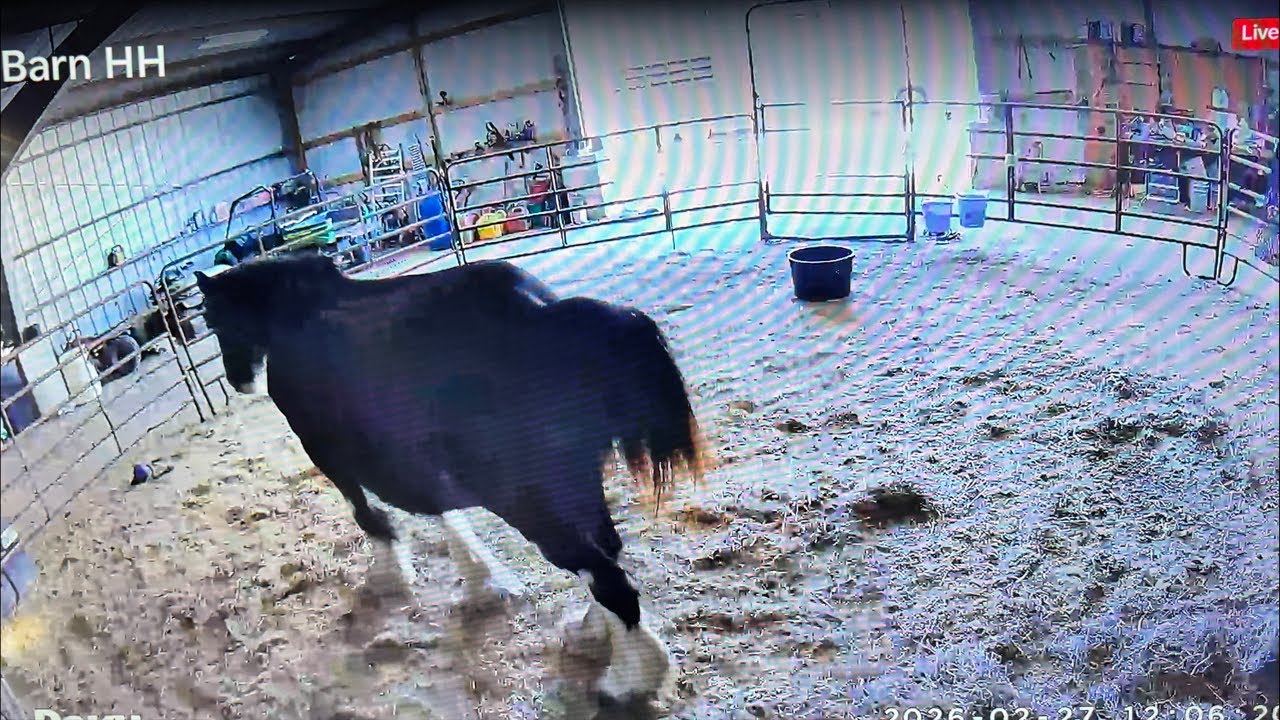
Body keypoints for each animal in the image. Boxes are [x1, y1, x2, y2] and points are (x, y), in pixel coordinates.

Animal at [194, 252, 709, 701]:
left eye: (214, 320)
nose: (239, 378)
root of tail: (545, 319)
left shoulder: (328, 453)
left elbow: (369, 514)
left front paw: (391, 575)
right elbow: (439, 508)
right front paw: (482, 583)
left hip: (528, 499)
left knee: (605, 577)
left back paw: (628, 682)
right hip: (573, 482)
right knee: (606, 553)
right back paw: (589, 633)